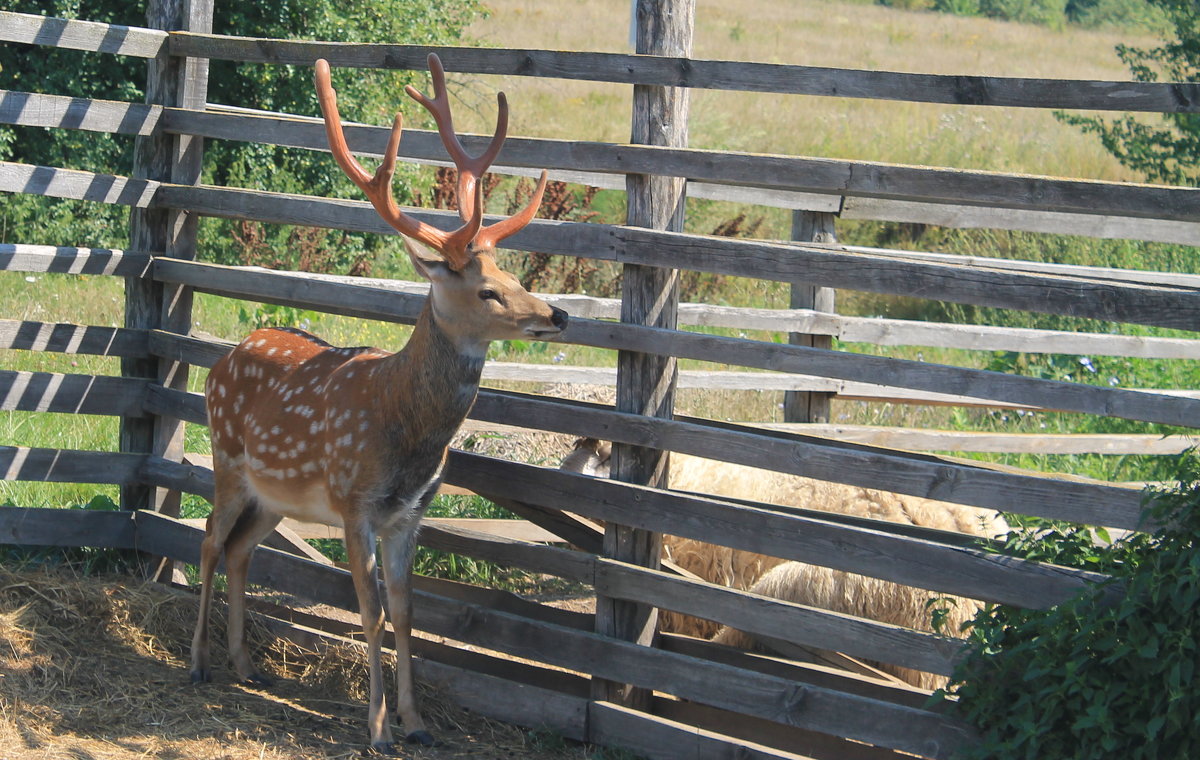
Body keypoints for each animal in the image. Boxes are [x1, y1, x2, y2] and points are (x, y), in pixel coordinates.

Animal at [188, 54, 566, 753]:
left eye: (513, 276)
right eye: (487, 291)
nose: (557, 314)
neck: (405, 429)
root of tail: (225, 357)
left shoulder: (409, 514)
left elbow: (409, 610)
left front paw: (418, 725)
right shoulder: (354, 502)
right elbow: (369, 610)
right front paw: (379, 729)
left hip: (276, 496)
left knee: (240, 549)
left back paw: (247, 665)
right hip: (227, 459)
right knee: (207, 540)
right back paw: (199, 662)